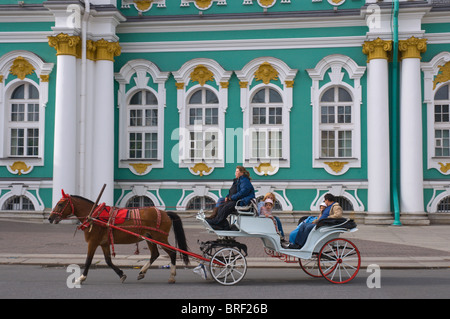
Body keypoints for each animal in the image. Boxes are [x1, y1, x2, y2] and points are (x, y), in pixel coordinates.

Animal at [48, 191, 189, 286]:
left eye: (60, 204)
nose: (50, 218)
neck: (95, 216)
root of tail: (165, 213)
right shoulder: (104, 243)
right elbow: (108, 260)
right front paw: (121, 274)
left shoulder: (92, 242)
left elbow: (88, 260)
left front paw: (81, 277)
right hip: (150, 238)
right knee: (155, 254)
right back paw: (142, 272)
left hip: (160, 237)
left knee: (172, 252)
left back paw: (172, 276)